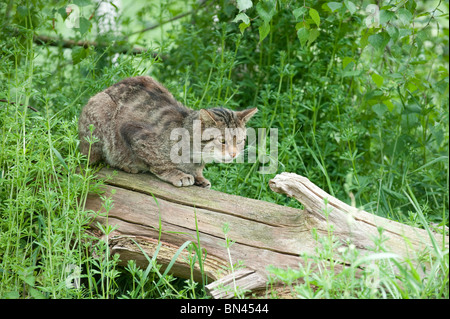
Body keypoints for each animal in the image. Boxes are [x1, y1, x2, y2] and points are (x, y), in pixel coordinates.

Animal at [78, 76, 256, 189]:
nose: (234, 154)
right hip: (100, 112)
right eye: (223, 141)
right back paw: (126, 165)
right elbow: (160, 162)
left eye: (240, 141)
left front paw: (199, 176)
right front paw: (178, 174)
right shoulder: (134, 133)